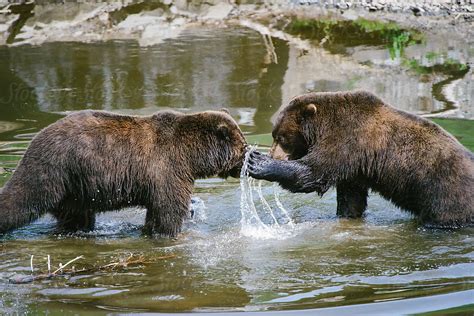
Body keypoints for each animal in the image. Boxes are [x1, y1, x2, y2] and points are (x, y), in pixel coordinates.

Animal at [0, 110, 244, 236]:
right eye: (242, 147)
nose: (247, 156)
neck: (192, 155)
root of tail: (35, 140)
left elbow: (156, 212)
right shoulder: (167, 168)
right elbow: (168, 210)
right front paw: (170, 231)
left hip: (76, 188)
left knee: (76, 218)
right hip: (54, 170)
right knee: (21, 199)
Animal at [248, 90, 474, 227]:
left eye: (282, 137)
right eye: (275, 134)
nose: (272, 154)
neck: (322, 127)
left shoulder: (347, 139)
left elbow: (314, 173)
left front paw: (258, 163)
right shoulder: (354, 166)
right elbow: (351, 197)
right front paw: (346, 214)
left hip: (444, 189)